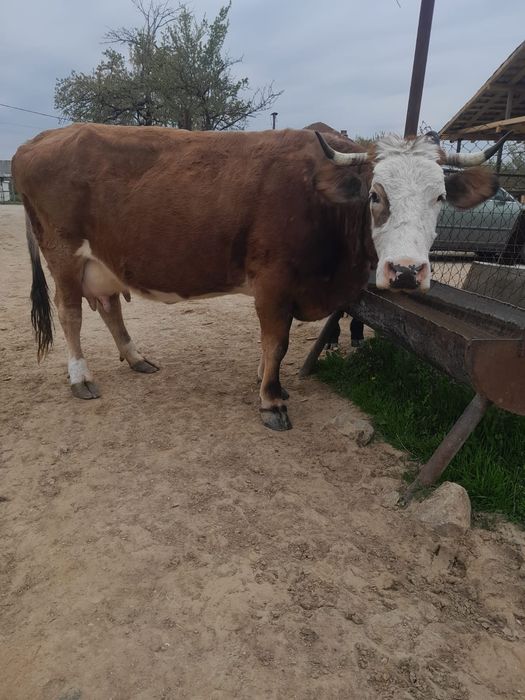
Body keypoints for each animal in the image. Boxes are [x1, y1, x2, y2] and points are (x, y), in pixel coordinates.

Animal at [12, 123, 506, 430]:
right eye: (375, 195)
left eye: (440, 197)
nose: (405, 271)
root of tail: (38, 140)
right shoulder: (273, 282)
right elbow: (277, 341)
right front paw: (271, 399)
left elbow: (271, 345)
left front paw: (270, 381)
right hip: (63, 255)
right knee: (70, 314)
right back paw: (80, 377)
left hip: (104, 260)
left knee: (109, 306)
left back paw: (136, 358)